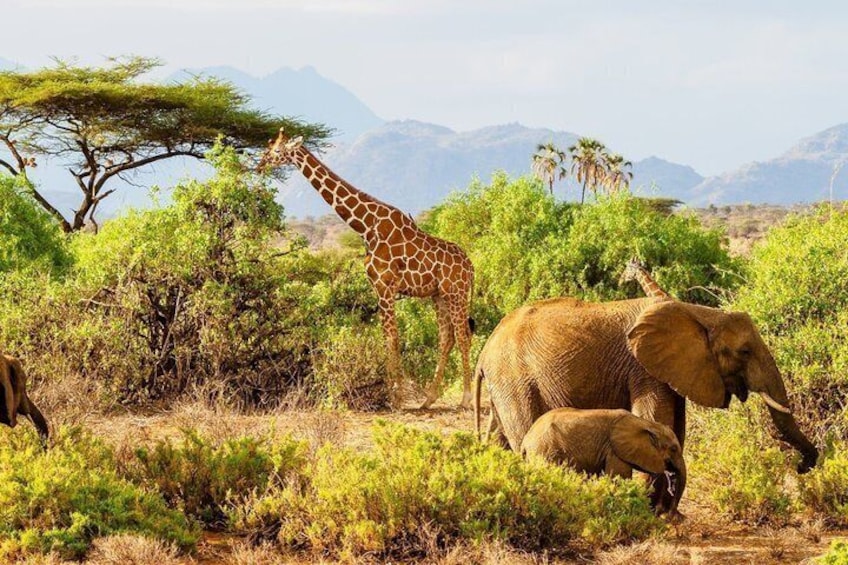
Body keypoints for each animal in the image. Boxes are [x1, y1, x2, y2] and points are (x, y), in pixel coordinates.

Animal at [260, 129, 475, 409]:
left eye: (277, 150)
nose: (260, 164)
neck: (365, 227)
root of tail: (470, 266)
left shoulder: (385, 287)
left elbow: (392, 337)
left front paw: (395, 396)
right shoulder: (378, 288)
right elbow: (388, 337)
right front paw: (395, 393)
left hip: (456, 293)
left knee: (463, 336)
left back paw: (466, 398)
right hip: (439, 296)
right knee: (446, 338)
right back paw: (428, 399)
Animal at [521, 407, 686, 515]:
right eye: (673, 449)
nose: (668, 515)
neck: (646, 423)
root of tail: (525, 441)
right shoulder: (614, 450)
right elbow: (618, 479)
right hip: (544, 451)